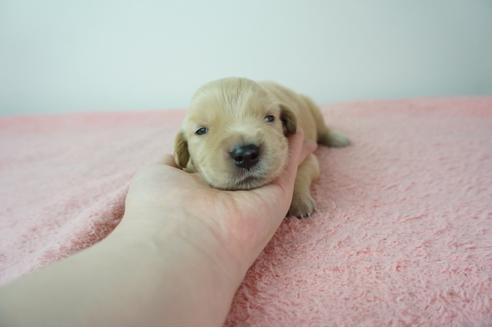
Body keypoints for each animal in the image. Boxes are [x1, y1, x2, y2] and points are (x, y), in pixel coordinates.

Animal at [174, 77, 350, 218]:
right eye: (201, 130)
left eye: (270, 118)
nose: (246, 155)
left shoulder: (307, 153)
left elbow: (300, 173)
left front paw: (299, 203)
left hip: (312, 107)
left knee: (323, 129)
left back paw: (338, 139)